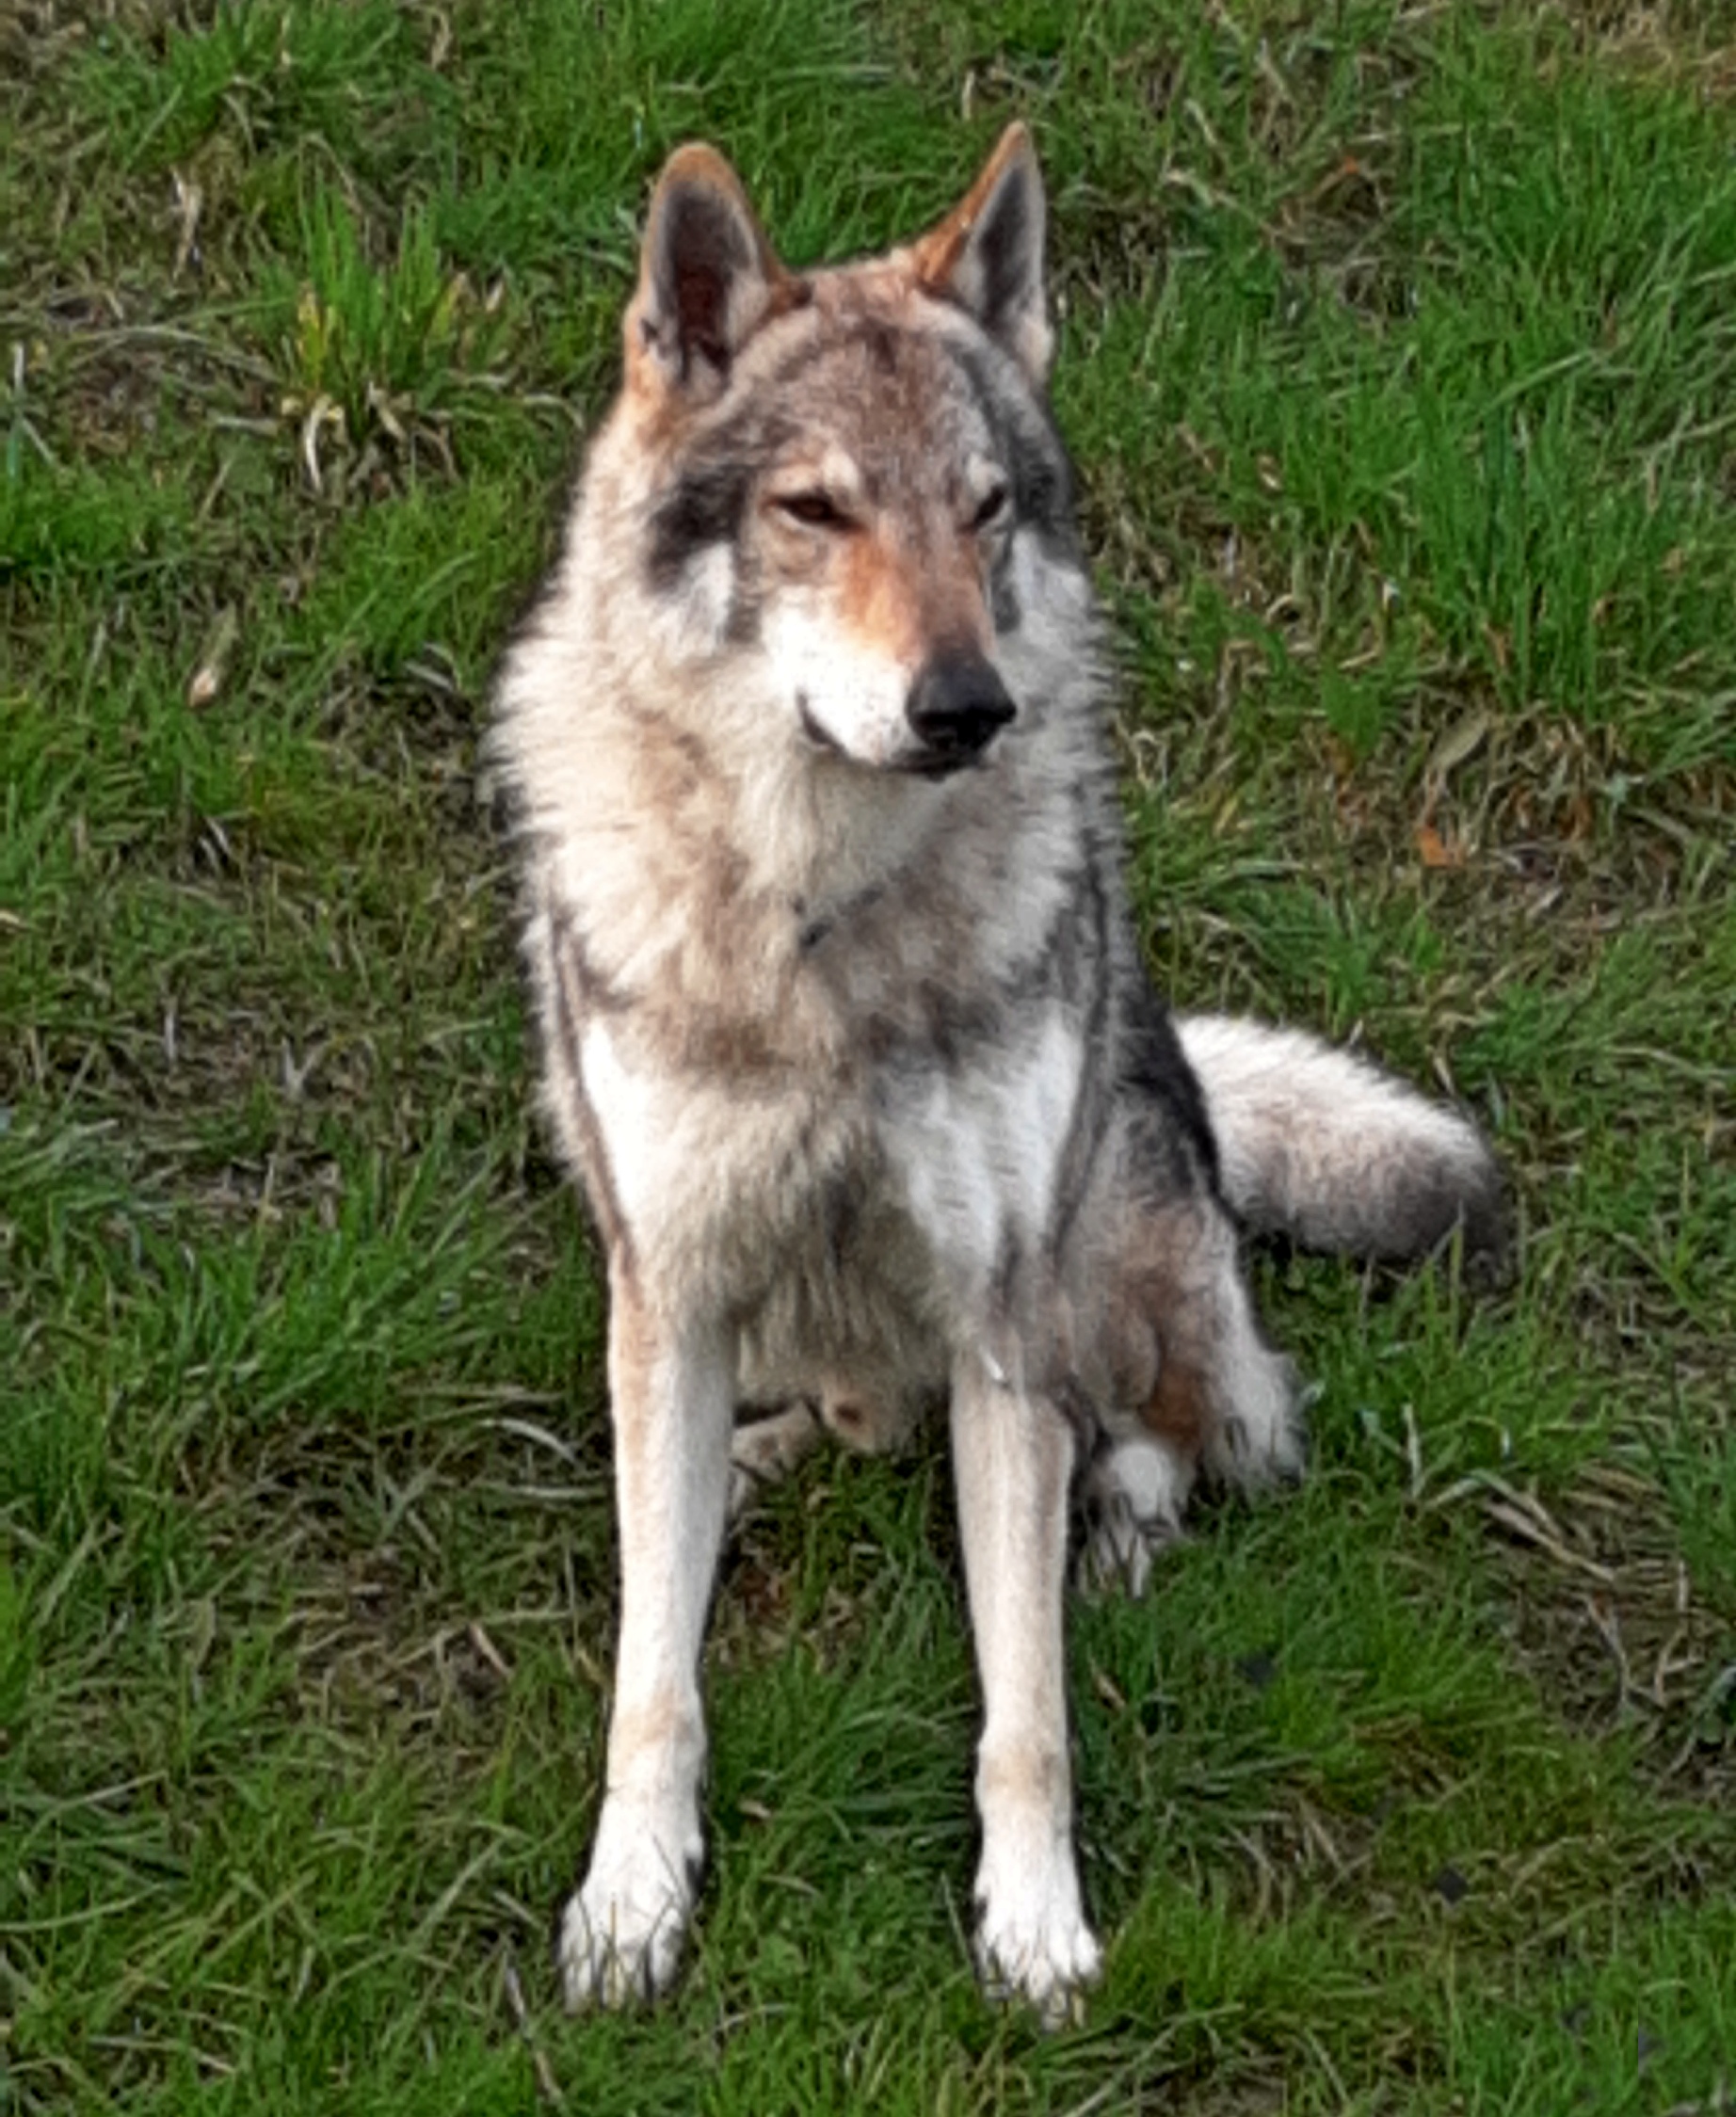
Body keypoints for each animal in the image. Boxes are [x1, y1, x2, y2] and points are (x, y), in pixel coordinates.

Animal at [489, 123, 1502, 2024]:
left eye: (984, 513)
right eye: (815, 511)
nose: (965, 706)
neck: (821, 922)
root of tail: (1179, 1076)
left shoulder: (998, 1307)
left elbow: (1023, 1708)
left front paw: (1032, 1933)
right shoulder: (671, 1268)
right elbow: (654, 1681)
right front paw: (629, 1908)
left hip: (1103, 1242)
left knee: (1183, 1433)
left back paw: (1109, 1527)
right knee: (819, 1421)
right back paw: (742, 1469)